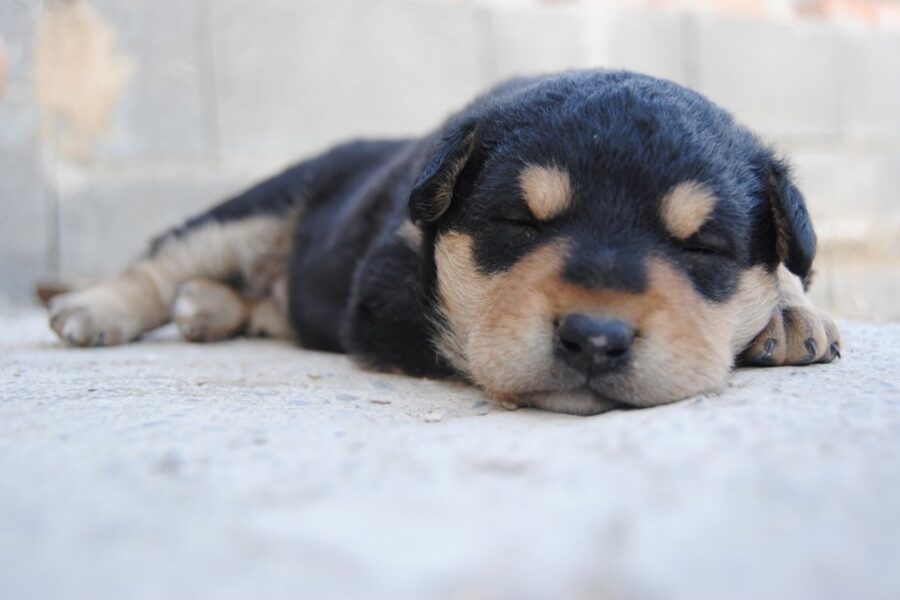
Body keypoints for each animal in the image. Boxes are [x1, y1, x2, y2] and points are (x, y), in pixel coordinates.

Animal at [45, 70, 840, 414]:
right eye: (520, 225)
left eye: (702, 248)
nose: (595, 339)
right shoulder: (388, 292)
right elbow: (468, 331)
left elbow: (791, 268)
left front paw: (790, 310)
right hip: (258, 206)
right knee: (167, 258)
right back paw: (95, 310)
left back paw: (205, 310)